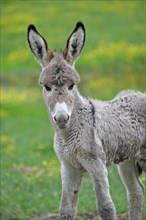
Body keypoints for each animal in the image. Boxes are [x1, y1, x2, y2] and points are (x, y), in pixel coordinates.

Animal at [27, 21, 145, 219]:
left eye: (72, 85)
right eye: (47, 87)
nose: (61, 118)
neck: (68, 136)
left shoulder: (95, 162)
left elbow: (106, 208)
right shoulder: (69, 166)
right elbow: (66, 210)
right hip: (127, 160)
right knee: (136, 192)